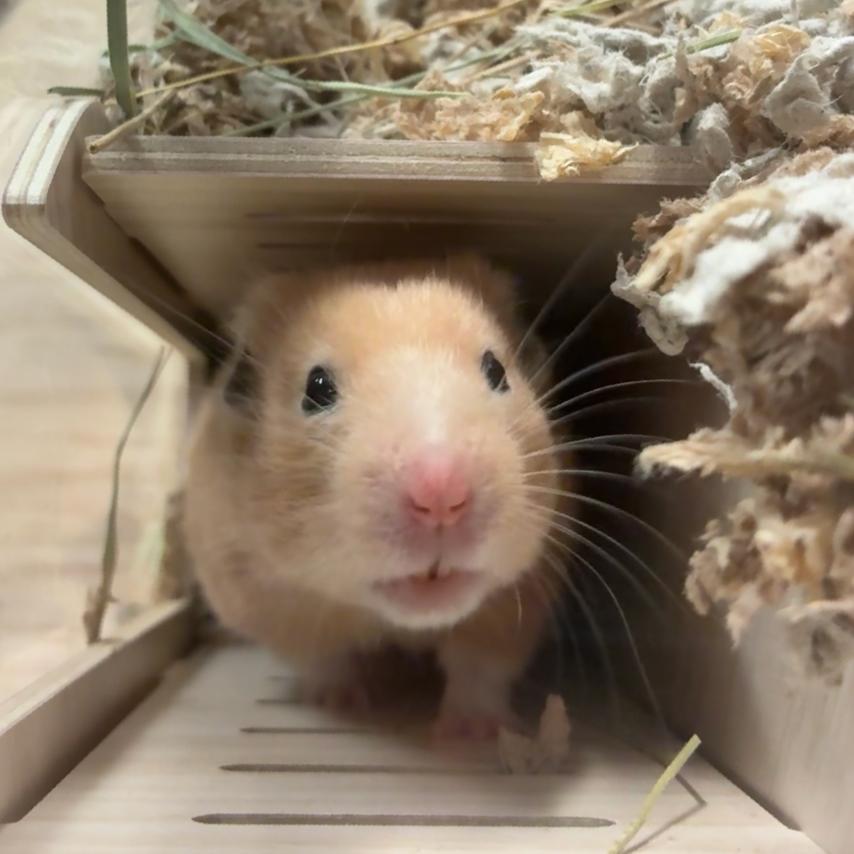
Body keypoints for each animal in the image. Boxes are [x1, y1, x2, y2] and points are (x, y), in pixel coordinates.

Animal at [183, 253, 566, 738]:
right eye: (316, 388)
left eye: (496, 370)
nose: (441, 495)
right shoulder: (270, 603)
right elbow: (326, 660)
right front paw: (345, 706)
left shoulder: (519, 603)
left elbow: (479, 668)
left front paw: (468, 734)